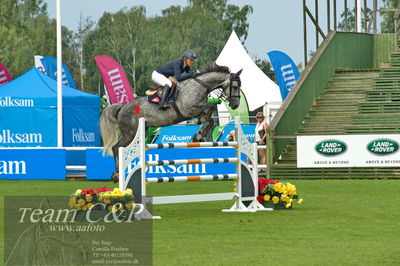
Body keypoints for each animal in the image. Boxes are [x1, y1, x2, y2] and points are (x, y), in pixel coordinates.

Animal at [101, 62, 242, 182]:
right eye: (235, 86)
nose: (235, 105)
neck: (199, 86)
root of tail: (122, 108)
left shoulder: (196, 111)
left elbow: (209, 119)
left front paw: (198, 135)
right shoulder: (189, 109)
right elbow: (211, 107)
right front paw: (199, 134)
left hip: (140, 132)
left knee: (119, 147)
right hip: (130, 133)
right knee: (116, 147)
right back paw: (117, 173)